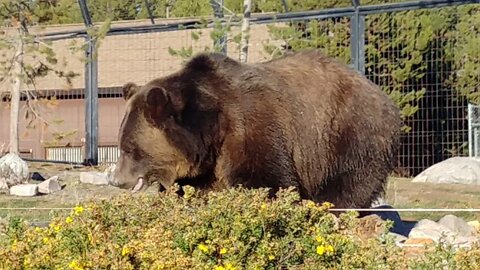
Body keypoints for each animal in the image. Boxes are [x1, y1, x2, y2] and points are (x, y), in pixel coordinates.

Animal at [109, 49, 402, 209]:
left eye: (129, 149)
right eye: (122, 144)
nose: (115, 180)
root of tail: (382, 94)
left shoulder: (253, 128)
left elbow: (265, 181)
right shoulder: (208, 165)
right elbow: (196, 189)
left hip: (346, 132)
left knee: (349, 180)